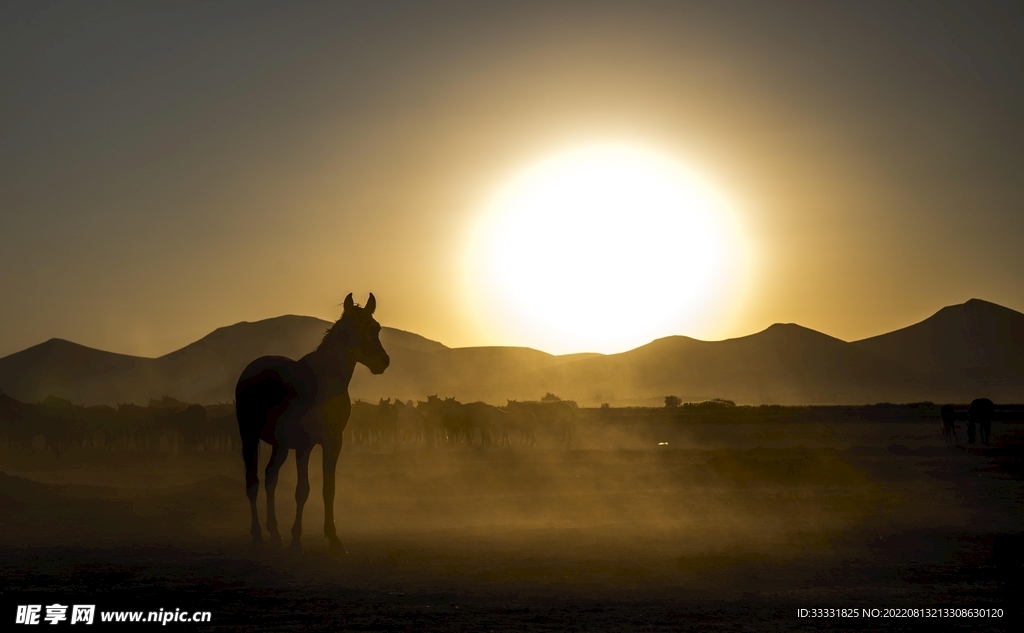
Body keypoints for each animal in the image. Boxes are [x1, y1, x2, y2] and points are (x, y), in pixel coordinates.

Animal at [235, 293, 389, 553]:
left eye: (376, 327)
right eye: (353, 329)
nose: (383, 362)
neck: (323, 385)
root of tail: (250, 369)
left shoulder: (333, 442)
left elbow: (329, 488)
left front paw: (334, 539)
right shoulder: (304, 445)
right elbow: (302, 490)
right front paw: (297, 539)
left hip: (280, 445)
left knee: (270, 478)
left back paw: (275, 533)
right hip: (250, 437)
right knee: (253, 481)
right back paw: (257, 535)